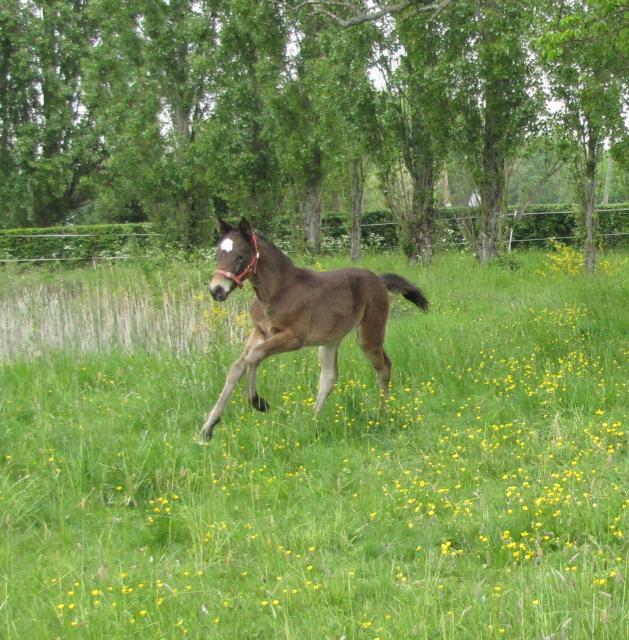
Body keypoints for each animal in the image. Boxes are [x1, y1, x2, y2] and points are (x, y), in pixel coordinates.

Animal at [201, 216, 426, 440]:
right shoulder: (260, 332)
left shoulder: (293, 337)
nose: (216, 290)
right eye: (218, 253)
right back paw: (312, 422)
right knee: (329, 377)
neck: (277, 291)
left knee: (383, 367)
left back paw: (382, 414)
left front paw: (258, 402)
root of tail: (379, 279)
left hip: (368, 334)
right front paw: (208, 427)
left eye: (240, 256)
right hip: (330, 340)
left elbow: (254, 356)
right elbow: (237, 367)